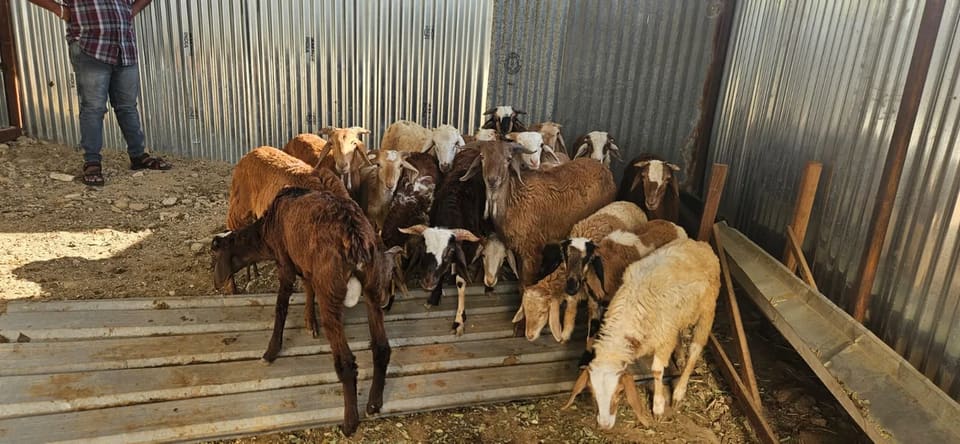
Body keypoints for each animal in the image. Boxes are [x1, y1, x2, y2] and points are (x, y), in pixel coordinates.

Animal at [211, 187, 401, 436]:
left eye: (216, 254)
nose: (216, 283)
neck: (266, 232)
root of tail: (356, 239)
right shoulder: (306, 266)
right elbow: (308, 289)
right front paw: (310, 322)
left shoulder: (285, 263)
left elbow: (281, 306)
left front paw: (271, 351)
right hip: (373, 285)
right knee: (381, 347)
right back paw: (374, 403)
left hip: (330, 289)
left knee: (346, 362)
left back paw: (350, 422)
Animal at [522, 201, 649, 343]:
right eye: (525, 311)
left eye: (542, 312)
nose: (529, 336)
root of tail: (631, 203)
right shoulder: (572, 296)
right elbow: (569, 315)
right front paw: (565, 335)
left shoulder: (593, 295)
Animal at [561, 238, 720, 429]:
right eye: (591, 392)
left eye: (620, 391)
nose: (605, 425)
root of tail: (700, 244)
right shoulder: (668, 329)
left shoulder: (664, 338)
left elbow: (657, 371)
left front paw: (658, 407)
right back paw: (680, 356)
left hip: (707, 309)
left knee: (696, 349)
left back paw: (679, 391)